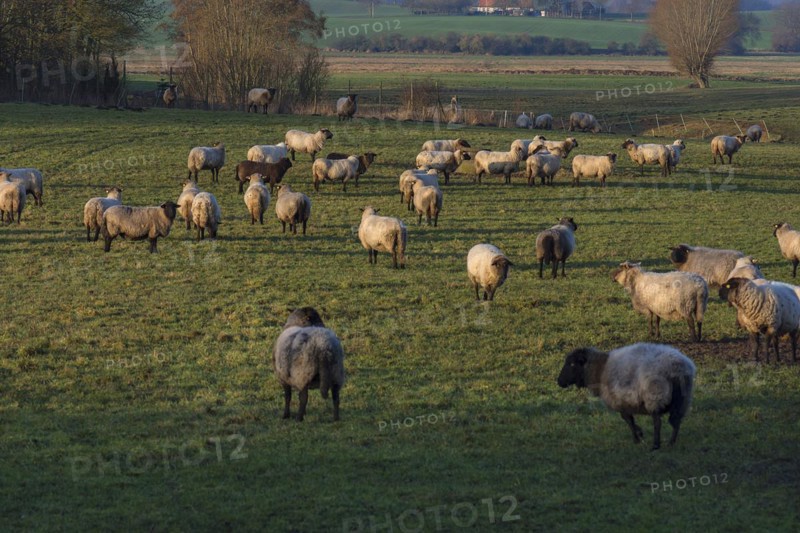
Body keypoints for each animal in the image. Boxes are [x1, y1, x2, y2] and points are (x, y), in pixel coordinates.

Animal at [557, 343, 696, 450]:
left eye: (572, 364)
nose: (559, 381)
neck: (600, 370)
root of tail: (677, 367)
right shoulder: (625, 403)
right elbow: (630, 420)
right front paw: (639, 434)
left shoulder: (619, 401)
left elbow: (628, 420)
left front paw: (637, 437)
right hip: (682, 399)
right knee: (676, 421)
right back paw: (671, 443)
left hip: (655, 396)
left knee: (658, 422)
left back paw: (656, 445)